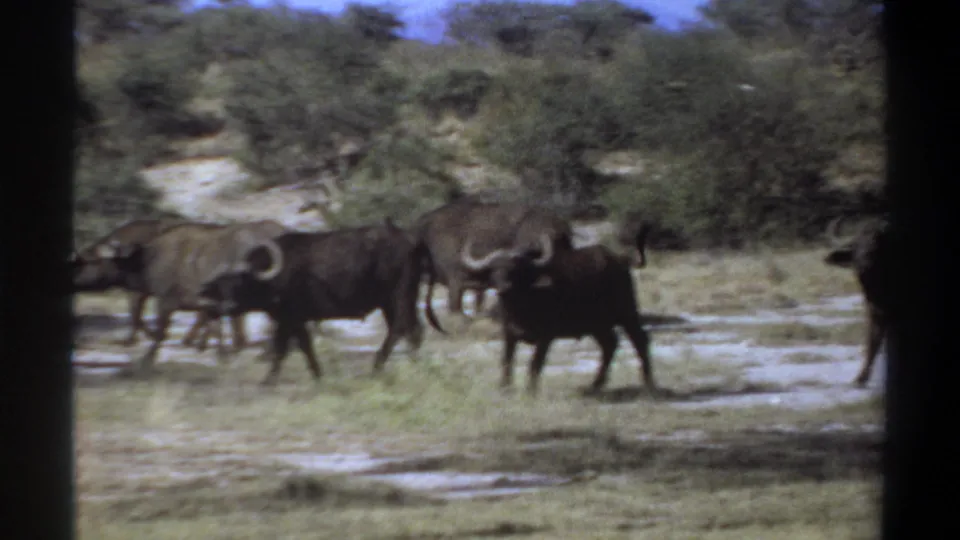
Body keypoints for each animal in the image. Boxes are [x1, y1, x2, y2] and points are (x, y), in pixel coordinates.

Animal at [73, 219, 290, 373]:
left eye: (90, 260)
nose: (75, 277)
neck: (147, 258)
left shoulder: (164, 301)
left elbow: (158, 330)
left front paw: (147, 357)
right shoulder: (209, 305)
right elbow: (215, 328)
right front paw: (221, 355)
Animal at [197, 218, 446, 386]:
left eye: (239, 283)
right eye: (220, 287)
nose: (227, 307)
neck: (274, 278)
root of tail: (413, 240)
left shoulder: (290, 318)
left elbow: (287, 348)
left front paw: (272, 380)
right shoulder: (291, 320)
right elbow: (297, 346)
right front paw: (313, 374)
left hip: (398, 296)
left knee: (400, 329)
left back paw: (377, 367)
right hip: (396, 300)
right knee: (413, 330)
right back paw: (413, 363)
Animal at [459, 233, 658, 396]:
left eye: (516, 270)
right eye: (494, 270)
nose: (504, 288)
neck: (521, 307)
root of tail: (621, 260)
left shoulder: (546, 337)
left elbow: (535, 363)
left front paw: (530, 390)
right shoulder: (509, 333)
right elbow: (506, 361)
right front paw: (504, 388)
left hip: (627, 313)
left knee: (640, 340)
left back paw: (649, 383)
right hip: (598, 325)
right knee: (610, 344)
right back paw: (595, 385)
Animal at [823, 213, 893, 387]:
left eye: (877, 244)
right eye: (856, 246)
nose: (863, 261)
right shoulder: (874, 313)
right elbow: (873, 341)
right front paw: (860, 378)